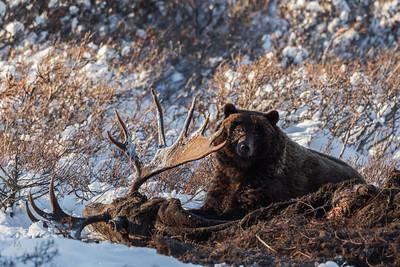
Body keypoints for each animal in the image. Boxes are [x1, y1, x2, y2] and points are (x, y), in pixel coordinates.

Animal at [192, 104, 364, 220]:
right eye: (238, 129)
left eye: (257, 132)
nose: (245, 147)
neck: (241, 169)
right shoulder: (223, 178)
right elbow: (212, 202)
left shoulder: (265, 183)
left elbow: (239, 208)